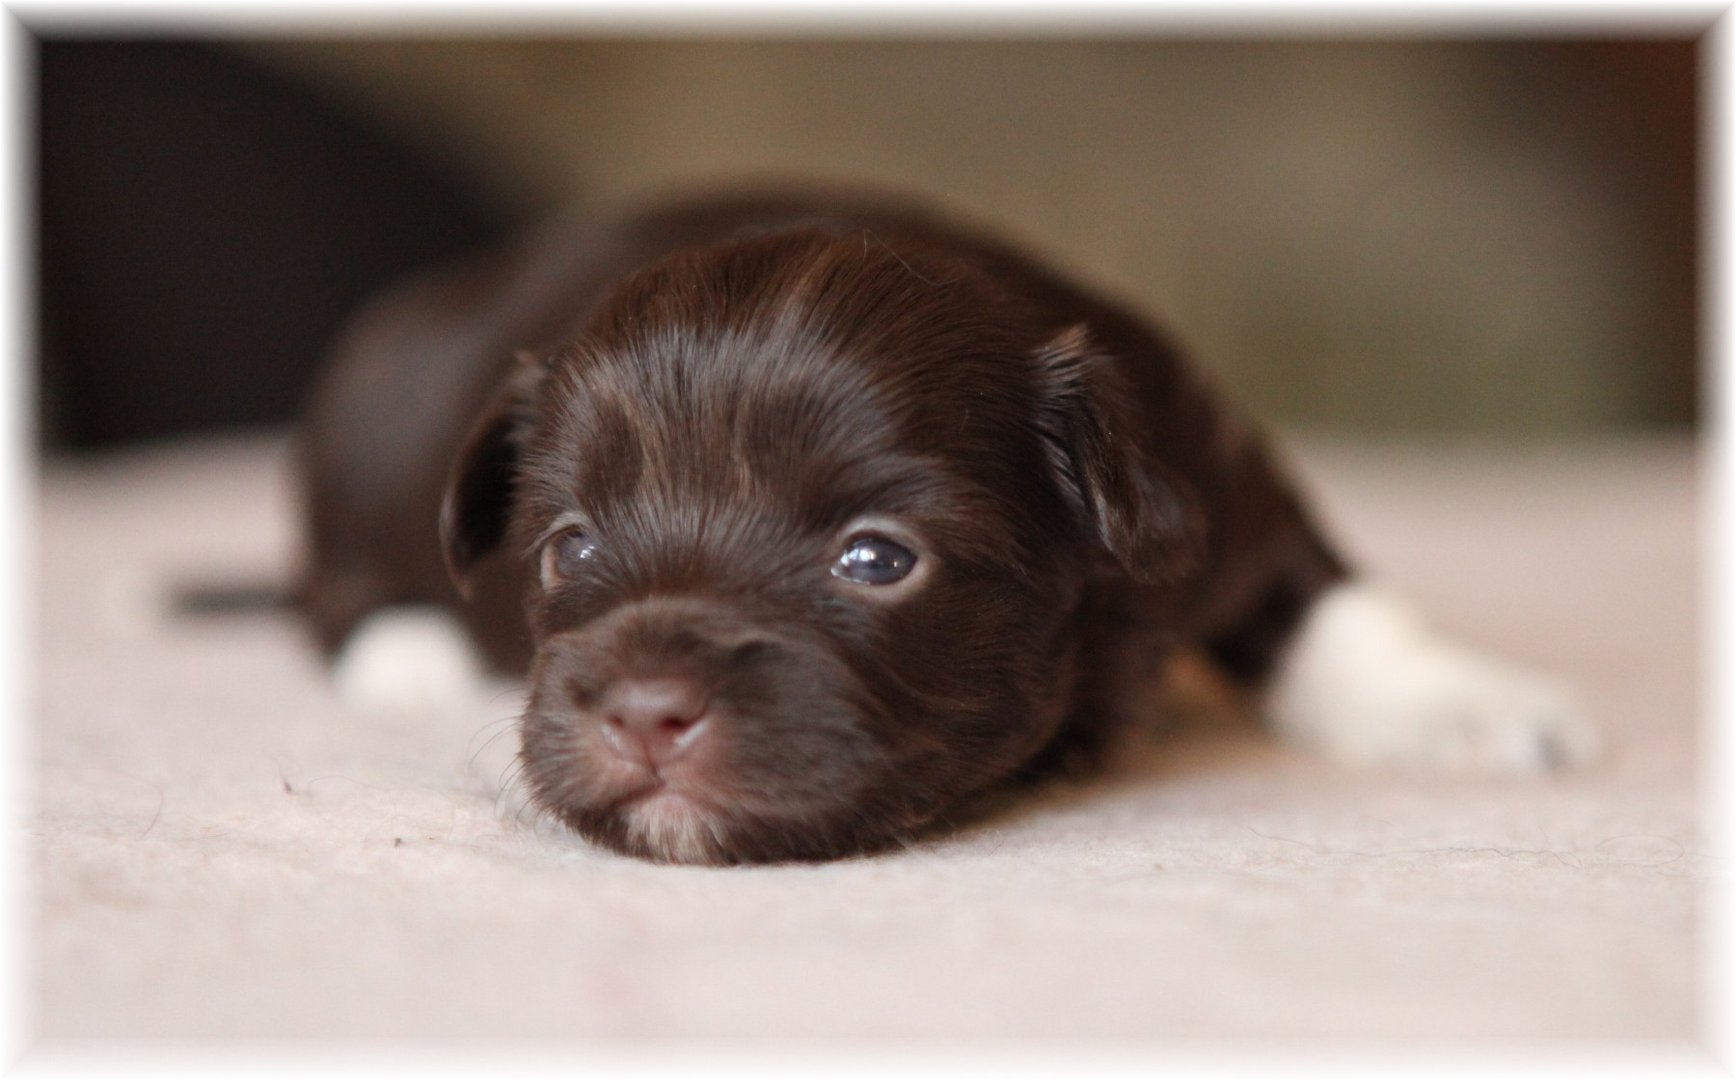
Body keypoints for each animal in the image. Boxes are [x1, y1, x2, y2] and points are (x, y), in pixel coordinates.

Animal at [298, 184, 1597, 864]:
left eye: (877, 559)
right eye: (568, 546)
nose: (642, 714)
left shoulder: (1215, 480)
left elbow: (1335, 608)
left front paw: (1467, 702)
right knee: (330, 589)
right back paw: (406, 656)